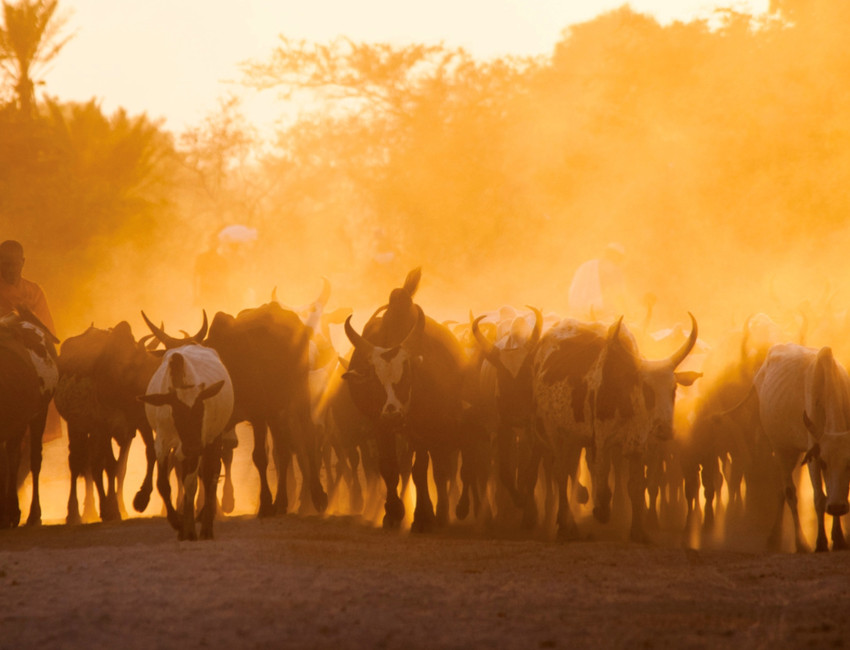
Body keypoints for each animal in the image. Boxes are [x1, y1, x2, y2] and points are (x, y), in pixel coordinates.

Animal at [138, 318, 234, 536]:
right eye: (176, 412)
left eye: (200, 409)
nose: (192, 447)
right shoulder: (163, 441)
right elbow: (164, 483)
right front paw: (178, 522)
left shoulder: (201, 440)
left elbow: (193, 482)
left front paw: (189, 528)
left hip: (212, 438)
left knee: (210, 475)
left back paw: (206, 526)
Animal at [342, 266, 468, 528]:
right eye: (375, 381)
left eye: (406, 375)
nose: (393, 414)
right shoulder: (379, 424)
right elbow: (389, 467)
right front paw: (393, 512)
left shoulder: (424, 426)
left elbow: (422, 470)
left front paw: (423, 516)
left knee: (439, 469)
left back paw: (441, 512)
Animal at [532, 312, 700, 540]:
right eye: (646, 388)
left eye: (673, 389)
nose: (664, 429)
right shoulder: (601, 441)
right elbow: (603, 483)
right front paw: (601, 512)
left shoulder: (638, 445)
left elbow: (636, 486)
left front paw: (638, 531)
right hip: (554, 432)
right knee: (561, 472)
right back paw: (565, 525)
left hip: (574, 437)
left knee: (570, 471)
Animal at [748, 342, 848, 548]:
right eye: (824, 462)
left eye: (849, 464)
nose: (837, 507)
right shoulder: (814, 458)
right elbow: (819, 498)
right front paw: (821, 543)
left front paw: (839, 539)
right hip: (782, 449)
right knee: (789, 492)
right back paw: (799, 543)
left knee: (782, 490)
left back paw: (776, 538)